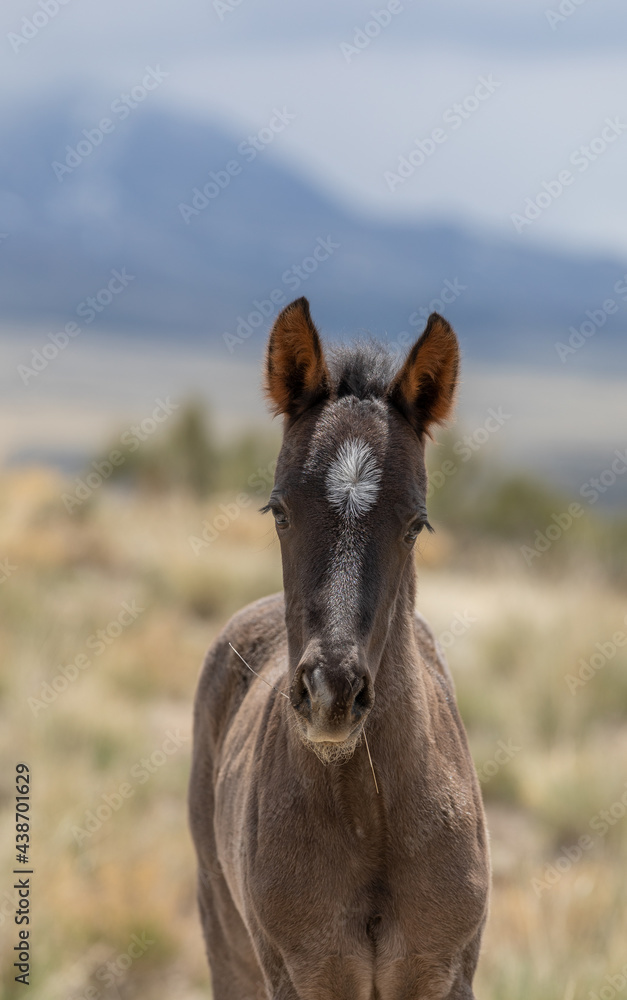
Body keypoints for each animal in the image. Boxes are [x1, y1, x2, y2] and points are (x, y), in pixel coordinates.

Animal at [188, 297, 490, 999]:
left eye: (416, 523)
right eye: (278, 510)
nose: (331, 693)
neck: (372, 818)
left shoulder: (446, 973)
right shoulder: (303, 975)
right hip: (226, 939)